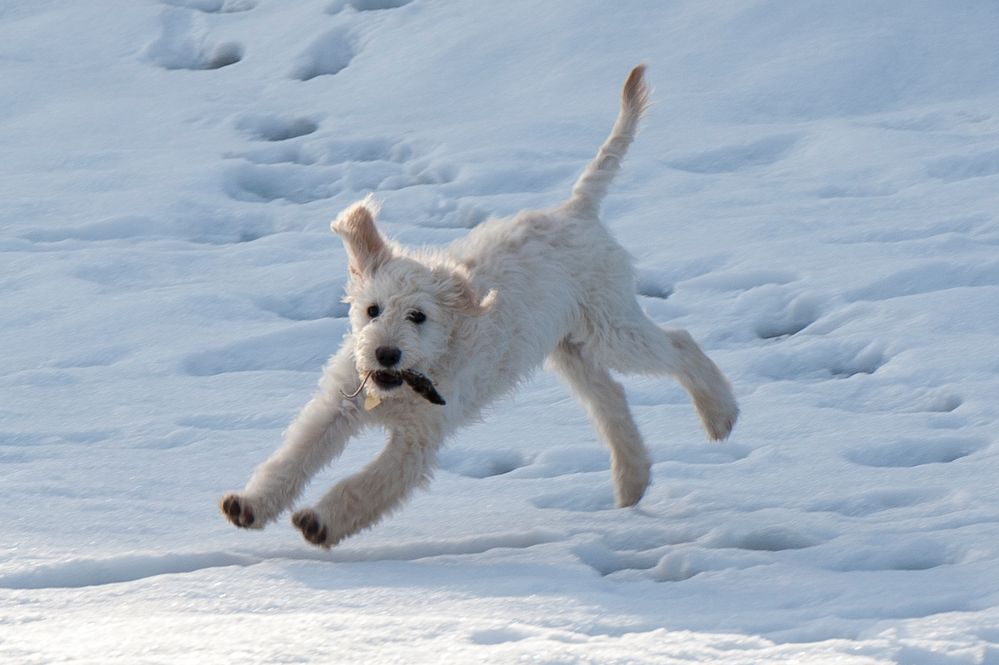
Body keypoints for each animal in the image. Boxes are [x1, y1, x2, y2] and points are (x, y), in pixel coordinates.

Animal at [223, 65, 740, 548]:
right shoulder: (335, 407)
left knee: (679, 345)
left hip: (610, 327)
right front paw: (250, 505)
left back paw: (719, 416)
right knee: (611, 398)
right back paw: (632, 480)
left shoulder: (417, 441)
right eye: (372, 310)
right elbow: (291, 459)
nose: (385, 354)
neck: (403, 383)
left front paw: (320, 520)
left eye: (419, 317)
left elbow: (366, 486)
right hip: (567, 347)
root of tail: (575, 211)